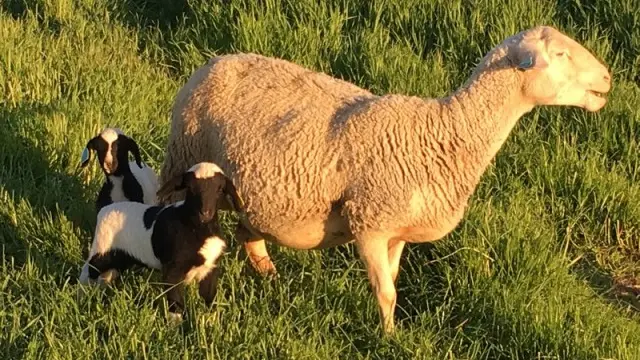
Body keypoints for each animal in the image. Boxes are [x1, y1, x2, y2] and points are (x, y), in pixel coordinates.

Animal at [79, 162, 240, 320]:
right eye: (190, 189)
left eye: (220, 189)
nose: (205, 213)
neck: (195, 228)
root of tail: (107, 207)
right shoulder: (172, 269)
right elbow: (175, 302)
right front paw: (175, 326)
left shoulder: (211, 268)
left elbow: (209, 298)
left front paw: (209, 321)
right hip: (102, 247)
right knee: (88, 269)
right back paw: (81, 295)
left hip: (121, 258)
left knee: (107, 274)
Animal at [158, 26, 612, 334]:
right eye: (560, 54)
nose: (608, 78)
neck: (447, 134)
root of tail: (215, 61)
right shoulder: (370, 224)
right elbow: (386, 291)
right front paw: (389, 339)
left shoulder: (396, 232)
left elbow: (391, 282)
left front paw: (390, 330)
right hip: (182, 155)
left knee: (246, 231)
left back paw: (270, 276)